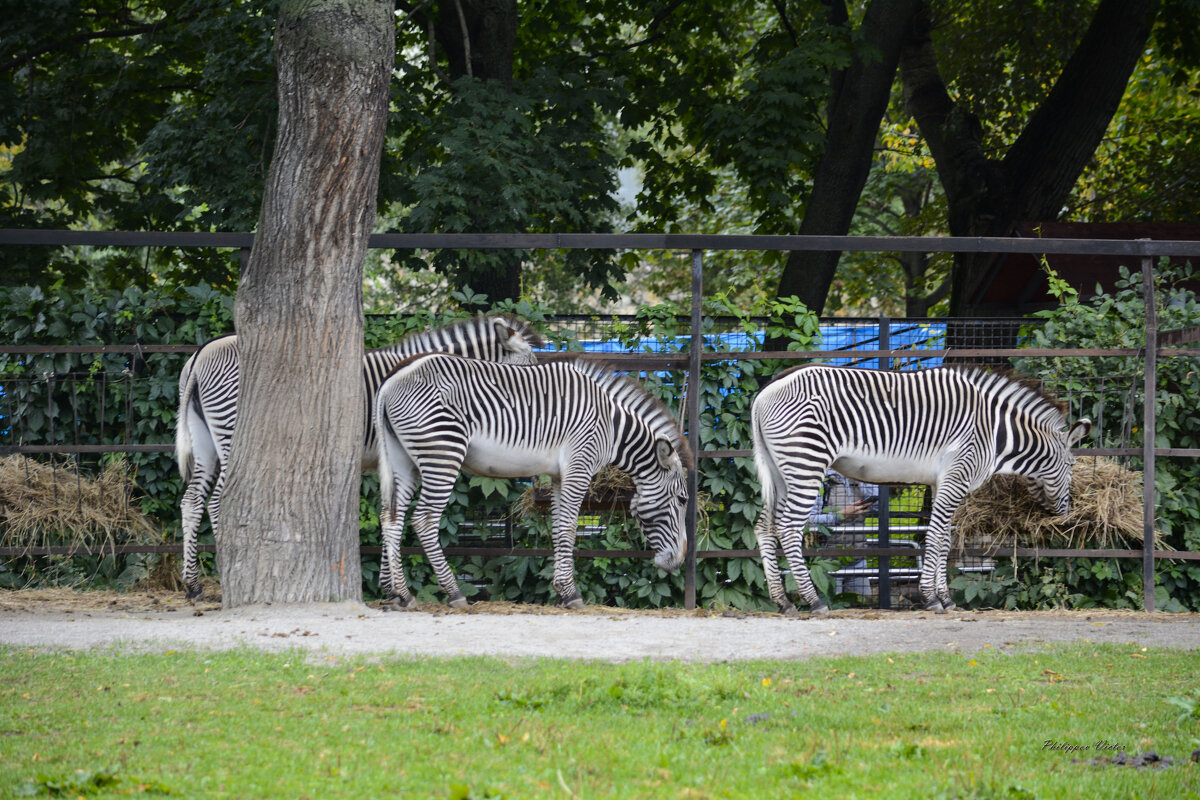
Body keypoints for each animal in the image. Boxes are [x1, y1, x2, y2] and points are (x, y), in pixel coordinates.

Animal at [172, 316, 540, 597]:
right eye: (527, 374)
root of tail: (200, 355)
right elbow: (393, 513)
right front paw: (392, 587)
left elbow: (386, 511)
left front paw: (387, 585)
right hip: (231, 434)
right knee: (219, 501)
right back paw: (228, 573)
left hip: (203, 438)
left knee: (191, 500)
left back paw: (194, 585)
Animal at [374, 352, 696, 609]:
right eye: (682, 500)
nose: (679, 561)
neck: (612, 427)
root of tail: (390, 383)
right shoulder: (579, 466)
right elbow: (569, 528)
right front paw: (571, 594)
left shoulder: (559, 475)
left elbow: (558, 527)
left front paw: (561, 592)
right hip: (443, 452)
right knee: (424, 519)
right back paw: (453, 592)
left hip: (403, 460)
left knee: (391, 517)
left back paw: (399, 594)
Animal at [748, 367, 1089, 618]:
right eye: (1072, 464)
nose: (1065, 511)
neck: (994, 435)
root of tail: (765, 392)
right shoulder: (957, 477)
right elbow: (936, 536)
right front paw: (932, 598)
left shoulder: (941, 482)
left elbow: (943, 539)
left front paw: (946, 599)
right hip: (806, 462)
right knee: (789, 527)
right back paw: (814, 601)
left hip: (781, 472)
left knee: (764, 526)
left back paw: (783, 602)